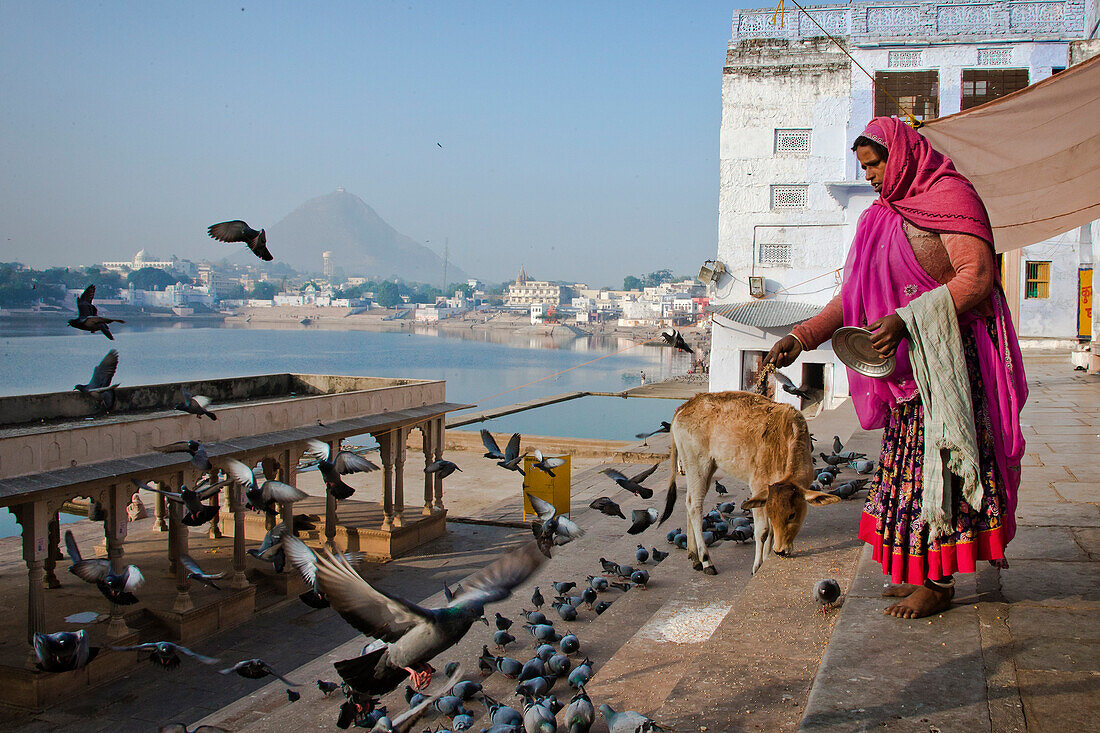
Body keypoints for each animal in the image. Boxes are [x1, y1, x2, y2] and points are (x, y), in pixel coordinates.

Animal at [660, 391, 831, 572]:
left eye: (792, 514)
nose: (781, 550)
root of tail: (686, 405)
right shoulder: (758, 485)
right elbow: (763, 531)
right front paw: (757, 566)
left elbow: (771, 530)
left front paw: (766, 557)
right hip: (697, 464)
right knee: (695, 506)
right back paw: (706, 561)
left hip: (707, 467)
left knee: (689, 502)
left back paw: (694, 557)